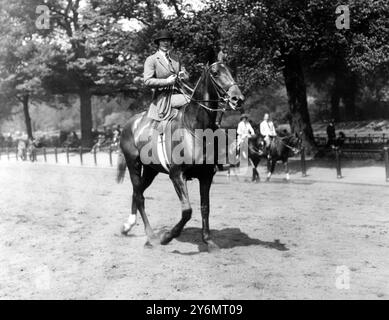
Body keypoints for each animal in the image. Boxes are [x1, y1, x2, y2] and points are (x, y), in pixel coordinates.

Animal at [116, 62, 242, 252]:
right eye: (215, 73)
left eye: (230, 71)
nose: (237, 98)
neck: (195, 128)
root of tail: (130, 123)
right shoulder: (177, 175)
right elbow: (187, 211)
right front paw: (167, 237)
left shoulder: (206, 176)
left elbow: (205, 207)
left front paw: (208, 241)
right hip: (134, 165)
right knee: (139, 196)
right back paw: (151, 237)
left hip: (151, 171)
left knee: (137, 192)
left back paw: (128, 226)